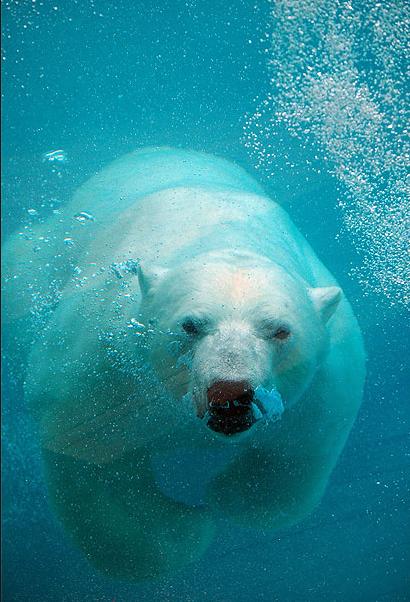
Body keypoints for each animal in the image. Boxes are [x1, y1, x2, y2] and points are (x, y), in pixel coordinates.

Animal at [3, 145, 366, 576]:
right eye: (190, 325)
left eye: (280, 330)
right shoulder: (101, 359)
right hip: (56, 246)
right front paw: (191, 526)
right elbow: (86, 454)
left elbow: (295, 459)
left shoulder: (326, 383)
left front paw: (226, 495)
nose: (230, 393)